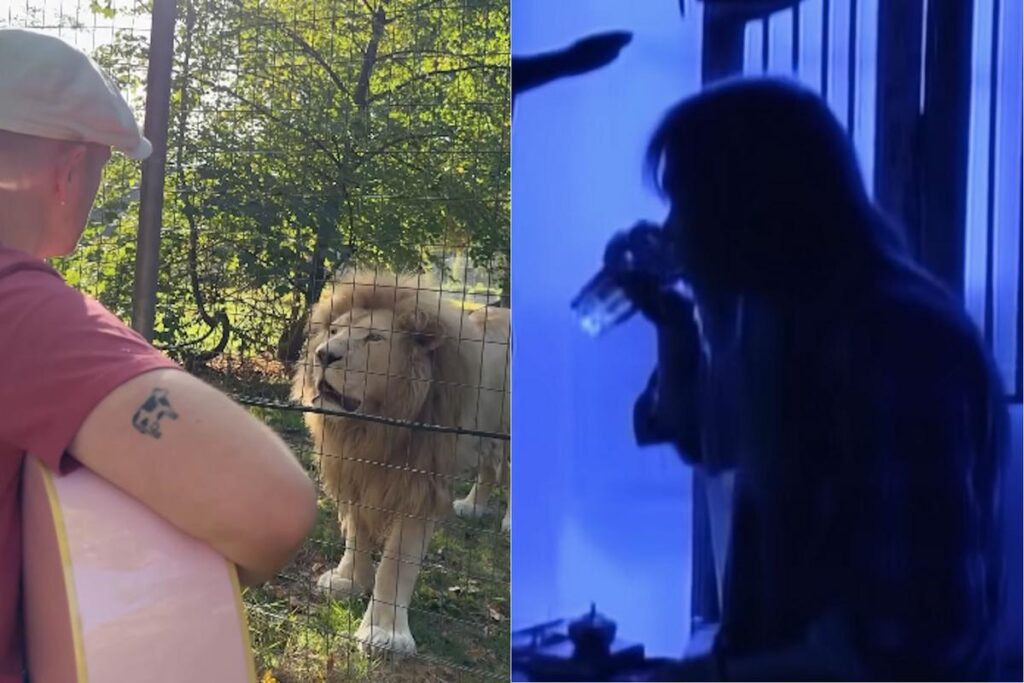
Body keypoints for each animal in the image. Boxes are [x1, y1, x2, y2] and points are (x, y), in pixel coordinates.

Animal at [291, 268, 510, 654]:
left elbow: (395, 564)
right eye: (334, 331)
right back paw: (471, 506)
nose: (323, 355)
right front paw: (349, 580)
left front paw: (385, 633)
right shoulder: (353, 472)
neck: (371, 428)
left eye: (374, 338)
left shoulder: (420, 487)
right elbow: (356, 536)